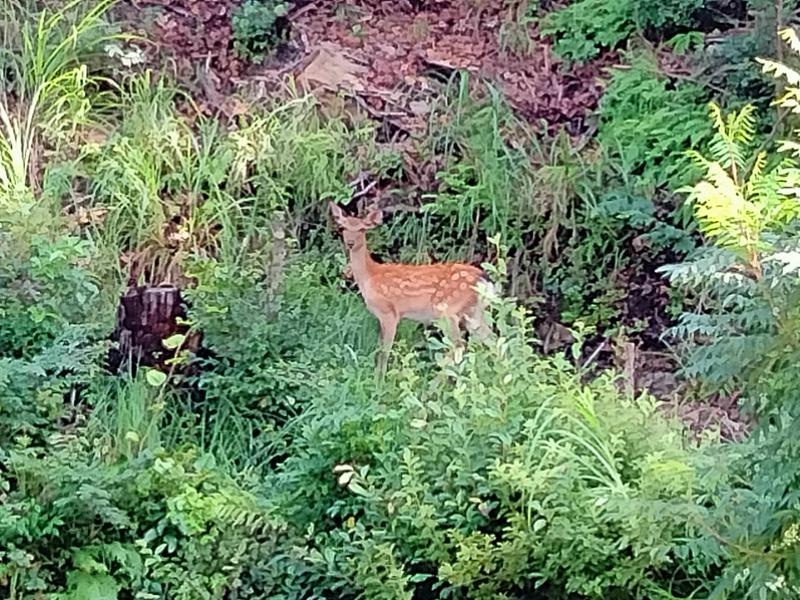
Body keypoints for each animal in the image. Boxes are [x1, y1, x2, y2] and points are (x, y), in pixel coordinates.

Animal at [330, 202, 494, 372]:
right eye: (343, 227)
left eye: (362, 229)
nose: (350, 243)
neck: (370, 276)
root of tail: (483, 279)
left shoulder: (389, 312)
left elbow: (384, 352)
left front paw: (379, 378)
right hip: (474, 312)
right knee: (492, 341)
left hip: (447, 309)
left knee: (458, 345)